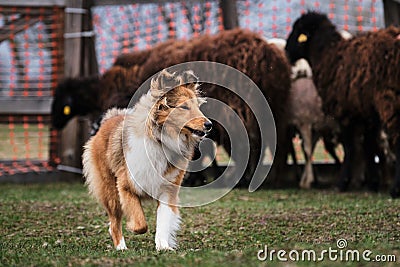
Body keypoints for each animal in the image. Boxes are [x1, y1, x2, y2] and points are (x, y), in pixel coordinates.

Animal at [82, 69, 212, 251]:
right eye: (184, 107)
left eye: (197, 106)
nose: (209, 125)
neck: (161, 141)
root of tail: (109, 119)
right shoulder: (125, 186)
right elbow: (140, 224)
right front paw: (133, 227)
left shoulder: (167, 191)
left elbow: (163, 221)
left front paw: (163, 246)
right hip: (109, 190)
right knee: (114, 223)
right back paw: (121, 247)